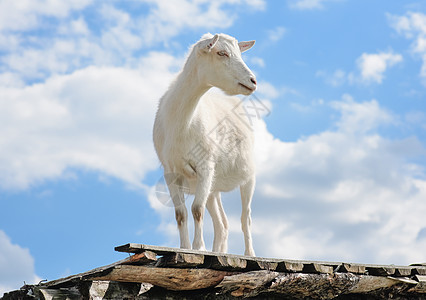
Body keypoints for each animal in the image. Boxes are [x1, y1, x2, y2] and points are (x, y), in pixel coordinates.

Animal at [155, 34, 258, 256]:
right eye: (222, 53)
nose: (253, 81)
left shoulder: (205, 165)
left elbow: (197, 209)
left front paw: (199, 248)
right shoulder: (171, 171)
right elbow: (181, 213)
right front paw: (185, 248)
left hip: (248, 175)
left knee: (245, 217)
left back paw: (250, 254)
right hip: (213, 186)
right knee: (222, 224)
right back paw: (219, 251)